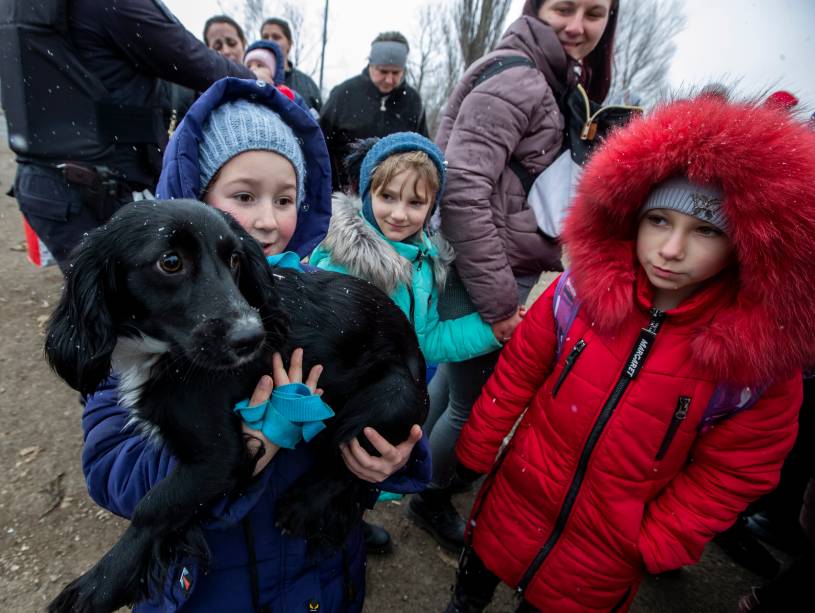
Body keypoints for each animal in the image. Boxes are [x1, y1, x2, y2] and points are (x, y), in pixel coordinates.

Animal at [45, 198, 430, 608]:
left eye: (234, 259)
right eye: (170, 261)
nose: (252, 338)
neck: (167, 355)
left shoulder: (219, 457)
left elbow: (153, 505)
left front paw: (98, 586)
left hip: (392, 395)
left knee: (350, 460)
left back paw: (304, 503)